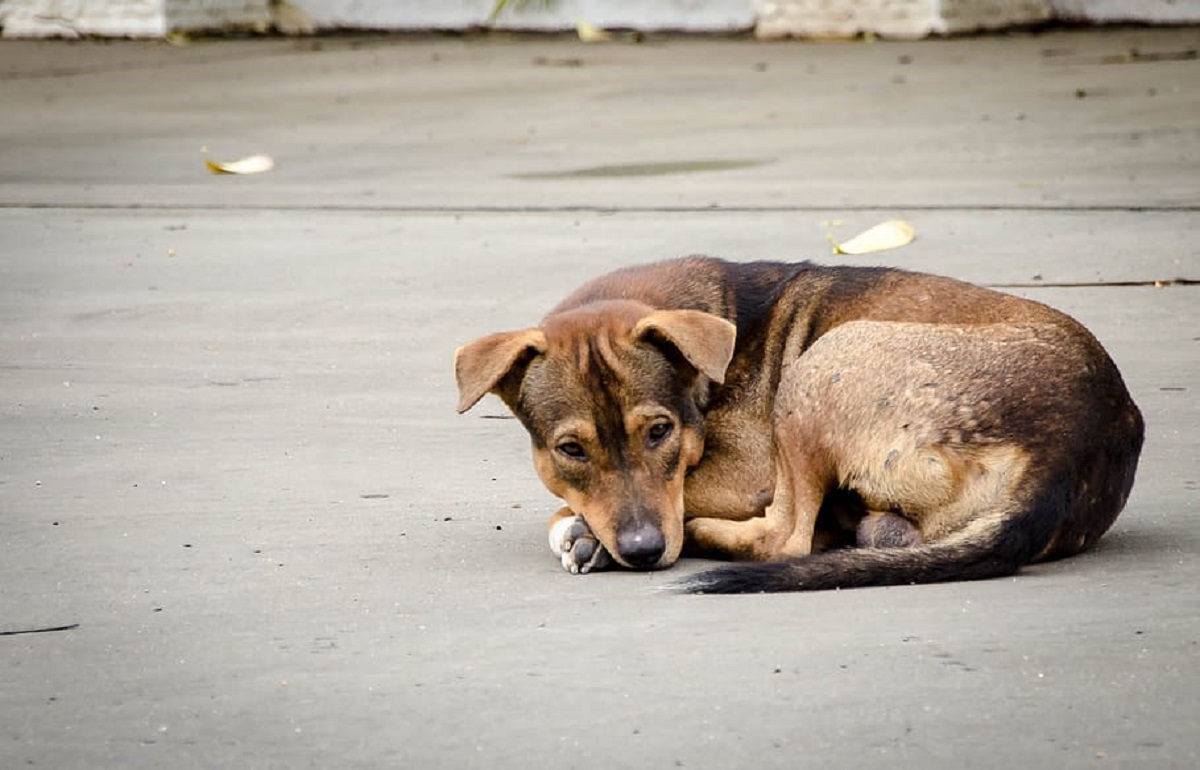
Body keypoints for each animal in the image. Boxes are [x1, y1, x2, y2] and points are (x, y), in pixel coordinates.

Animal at [451, 257, 1142, 594]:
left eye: (659, 432)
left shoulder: (744, 471)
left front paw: (581, 531)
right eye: (570, 449)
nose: (644, 552)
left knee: (786, 538)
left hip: (822, 365)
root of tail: (1068, 453)